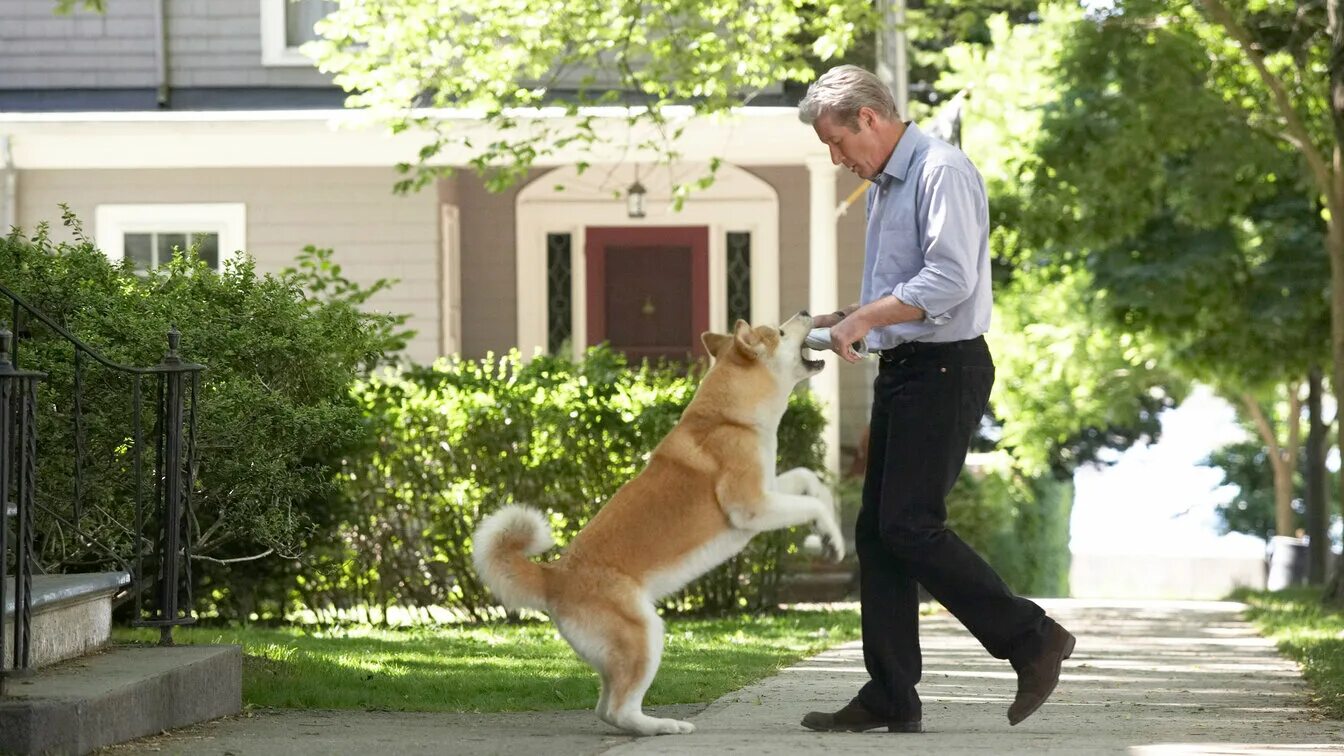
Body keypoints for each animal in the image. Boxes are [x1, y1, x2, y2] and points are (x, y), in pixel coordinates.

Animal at [473, 309, 844, 731]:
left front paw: (826, 534)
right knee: (620, 710)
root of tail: (552, 576)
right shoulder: (752, 506)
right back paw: (664, 726)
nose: (806, 312)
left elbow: (807, 479)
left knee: (607, 708)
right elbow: (811, 504)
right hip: (645, 634)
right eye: (780, 332)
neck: (730, 418)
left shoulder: (769, 488)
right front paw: (829, 535)